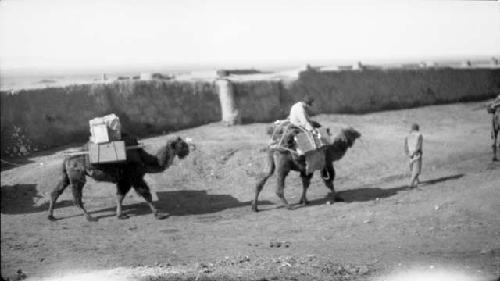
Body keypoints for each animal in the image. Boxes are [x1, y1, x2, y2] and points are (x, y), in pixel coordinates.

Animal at [47, 135, 191, 220]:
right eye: (182, 145)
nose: (188, 150)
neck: (144, 159)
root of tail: (67, 158)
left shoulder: (124, 180)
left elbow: (119, 196)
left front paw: (120, 215)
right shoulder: (134, 177)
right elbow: (146, 194)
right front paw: (158, 214)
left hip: (67, 175)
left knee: (56, 192)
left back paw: (51, 216)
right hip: (77, 175)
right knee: (76, 196)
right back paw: (89, 216)